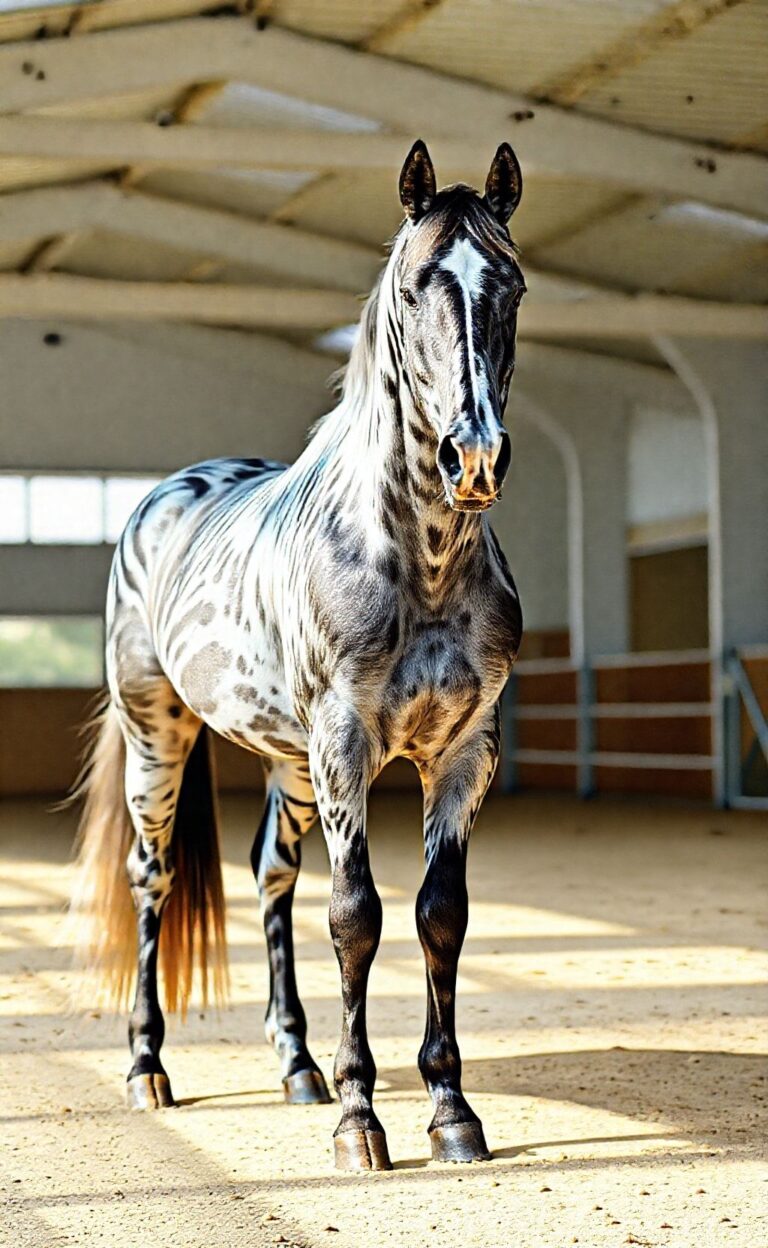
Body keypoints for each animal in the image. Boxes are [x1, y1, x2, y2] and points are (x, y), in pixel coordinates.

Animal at [71, 139, 525, 1170]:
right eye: (414, 288)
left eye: (513, 287)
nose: (473, 458)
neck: (419, 564)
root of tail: (164, 496)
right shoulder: (347, 742)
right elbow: (356, 915)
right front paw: (363, 1122)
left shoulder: (464, 752)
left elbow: (439, 914)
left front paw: (451, 1112)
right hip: (163, 737)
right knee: (152, 880)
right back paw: (148, 1068)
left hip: (293, 762)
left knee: (272, 878)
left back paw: (297, 1064)